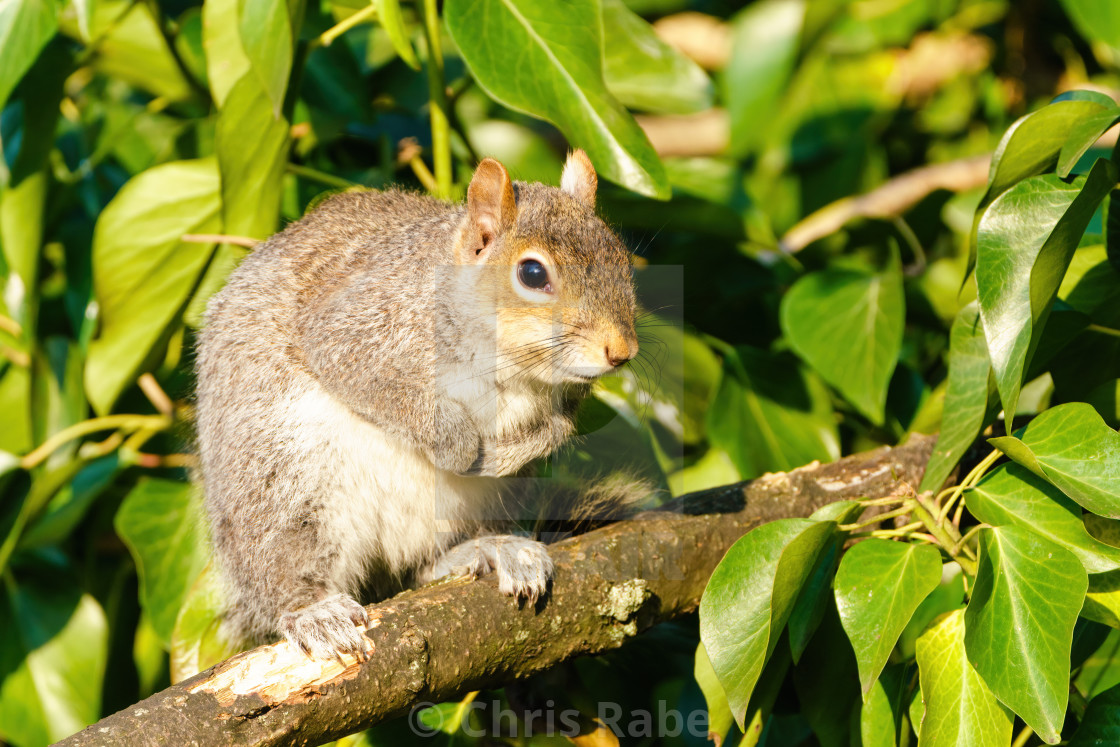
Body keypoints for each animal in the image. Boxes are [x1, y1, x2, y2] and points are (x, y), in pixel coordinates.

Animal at [194, 150, 640, 658]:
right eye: (532, 273)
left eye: (620, 256)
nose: (621, 352)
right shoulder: (355, 330)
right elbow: (383, 390)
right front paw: (460, 448)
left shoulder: (567, 396)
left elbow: (557, 429)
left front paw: (509, 453)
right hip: (282, 484)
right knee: (284, 566)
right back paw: (312, 611)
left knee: (421, 569)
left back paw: (492, 549)